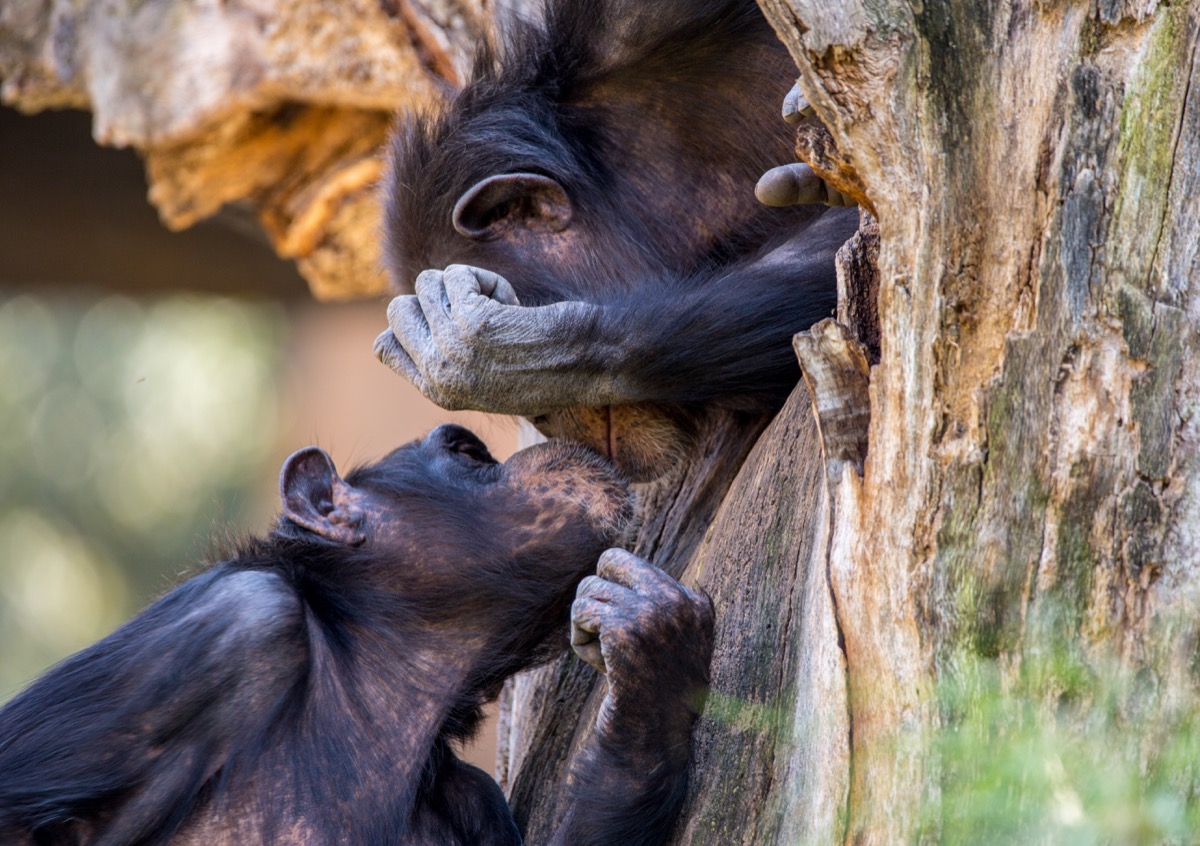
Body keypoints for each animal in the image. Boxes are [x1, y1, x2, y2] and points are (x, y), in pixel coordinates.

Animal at [0, 424, 710, 840]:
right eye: (468, 453)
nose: (485, 445)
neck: (381, 678)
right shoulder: (229, 626)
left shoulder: (471, 798)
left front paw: (655, 664)